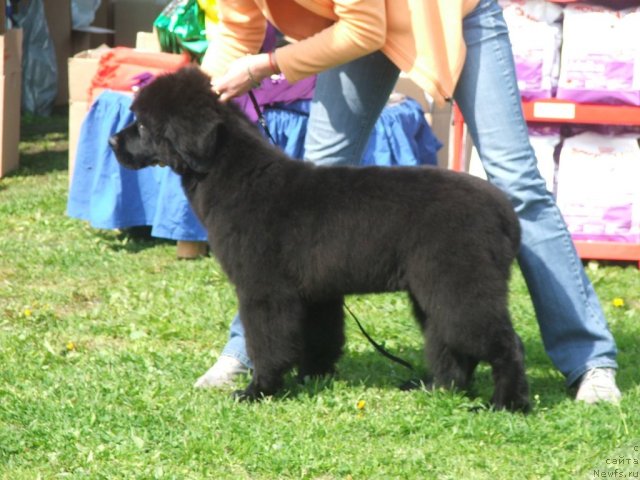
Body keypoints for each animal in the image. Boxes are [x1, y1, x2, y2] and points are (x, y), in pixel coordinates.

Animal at [110, 66, 528, 412]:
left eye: (142, 126)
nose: (113, 141)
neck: (238, 178)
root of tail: (505, 212)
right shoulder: (314, 292)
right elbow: (319, 339)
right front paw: (311, 378)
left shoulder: (264, 290)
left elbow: (267, 343)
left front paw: (259, 390)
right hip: (435, 292)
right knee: (454, 348)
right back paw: (438, 388)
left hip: (460, 283)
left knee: (505, 345)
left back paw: (506, 404)